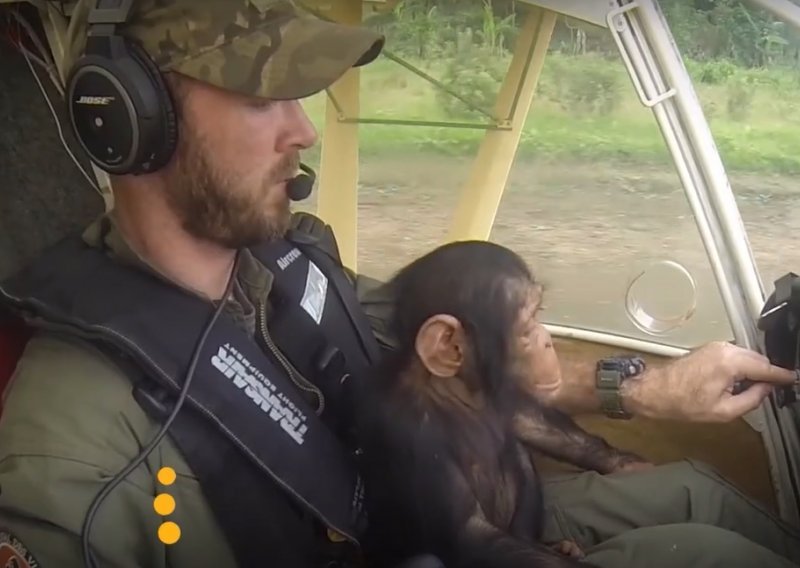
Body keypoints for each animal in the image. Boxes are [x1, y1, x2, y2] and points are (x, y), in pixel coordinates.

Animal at [354, 241, 644, 568]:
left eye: (539, 312)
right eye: (528, 324)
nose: (547, 340)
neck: (456, 391)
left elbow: (530, 419)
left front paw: (629, 464)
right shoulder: (410, 432)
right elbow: (470, 534)